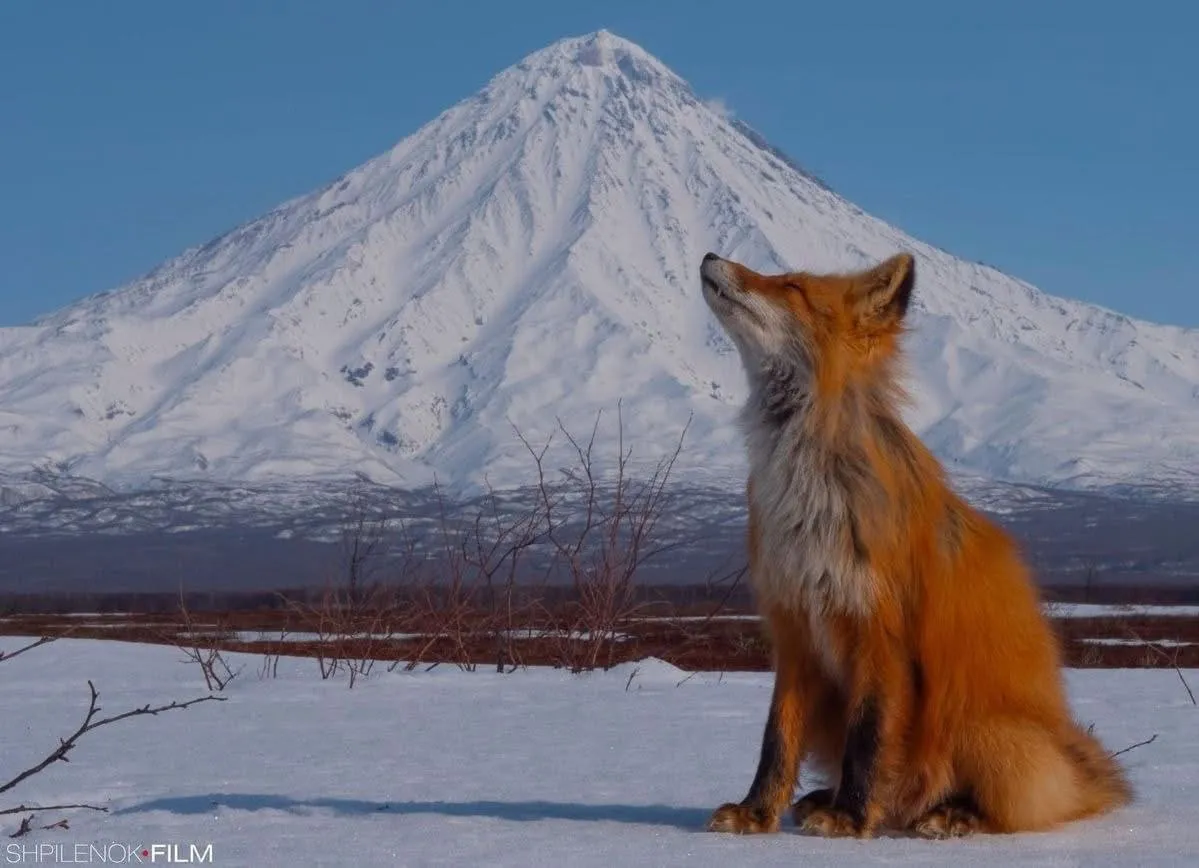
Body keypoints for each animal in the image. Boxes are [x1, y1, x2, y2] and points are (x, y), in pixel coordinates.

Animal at [698, 250, 1131, 839]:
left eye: (791, 287)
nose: (709, 257)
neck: (811, 502)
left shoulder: (881, 633)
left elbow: (869, 738)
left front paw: (852, 819)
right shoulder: (795, 632)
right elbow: (776, 741)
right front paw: (758, 813)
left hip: (976, 724)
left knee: (1014, 807)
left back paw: (950, 814)